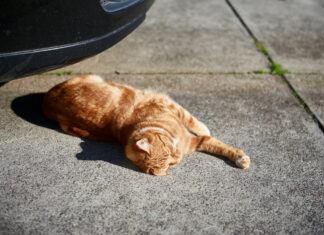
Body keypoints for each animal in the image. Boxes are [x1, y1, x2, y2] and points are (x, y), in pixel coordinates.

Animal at [43, 74, 251, 175]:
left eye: (168, 149)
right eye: (171, 163)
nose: (178, 155)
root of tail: (47, 101)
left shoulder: (169, 105)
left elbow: (194, 121)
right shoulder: (196, 142)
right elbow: (217, 144)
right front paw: (240, 158)